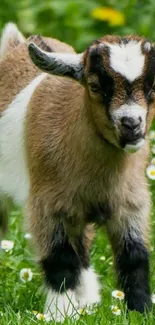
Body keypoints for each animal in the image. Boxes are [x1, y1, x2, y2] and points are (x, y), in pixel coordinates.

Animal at [0, 24, 155, 320]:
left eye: (153, 89)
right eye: (94, 86)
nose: (131, 124)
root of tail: (16, 44)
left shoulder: (131, 203)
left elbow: (135, 258)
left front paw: (141, 311)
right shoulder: (49, 205)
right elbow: (60, 259)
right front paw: (58, 315)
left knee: (82, 248)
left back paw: (88, 302)